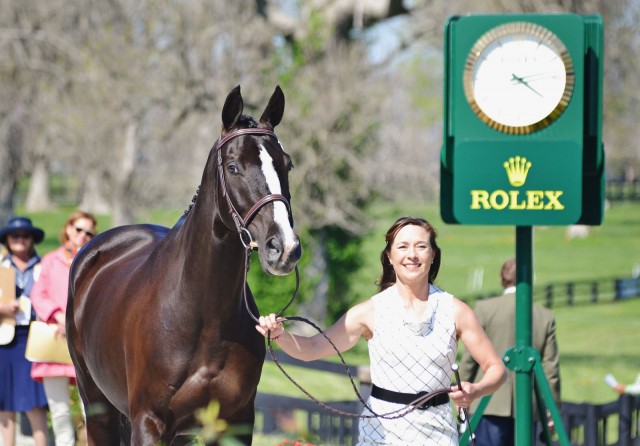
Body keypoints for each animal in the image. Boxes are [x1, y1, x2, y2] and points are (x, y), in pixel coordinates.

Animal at [66, 85, 302, 444]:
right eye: (233, 166)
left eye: (286, 165)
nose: (284, 248)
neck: (205, 320)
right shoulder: (148, 422)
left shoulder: (235, 423)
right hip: (97, 406)